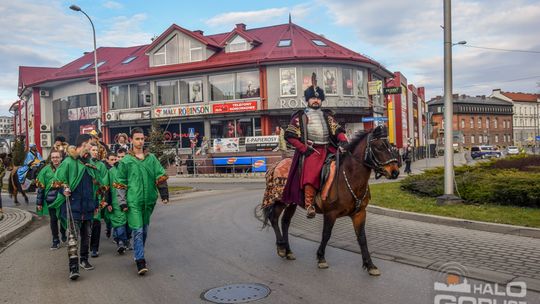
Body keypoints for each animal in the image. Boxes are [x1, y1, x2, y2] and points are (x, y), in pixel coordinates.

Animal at [262, 126, 400, 276]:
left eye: (390, 146)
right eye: (379, 147)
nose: (395, 172)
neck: (348, 177)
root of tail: (276, 164)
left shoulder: (359, 214)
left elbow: (362, 238)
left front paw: (370, 265)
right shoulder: (330, 214)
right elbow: (326, 234)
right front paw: (321, 258)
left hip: (291, 202)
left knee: (285, 222)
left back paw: (288, 251)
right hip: (280, 201)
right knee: (274, 218)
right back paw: (281, 248)